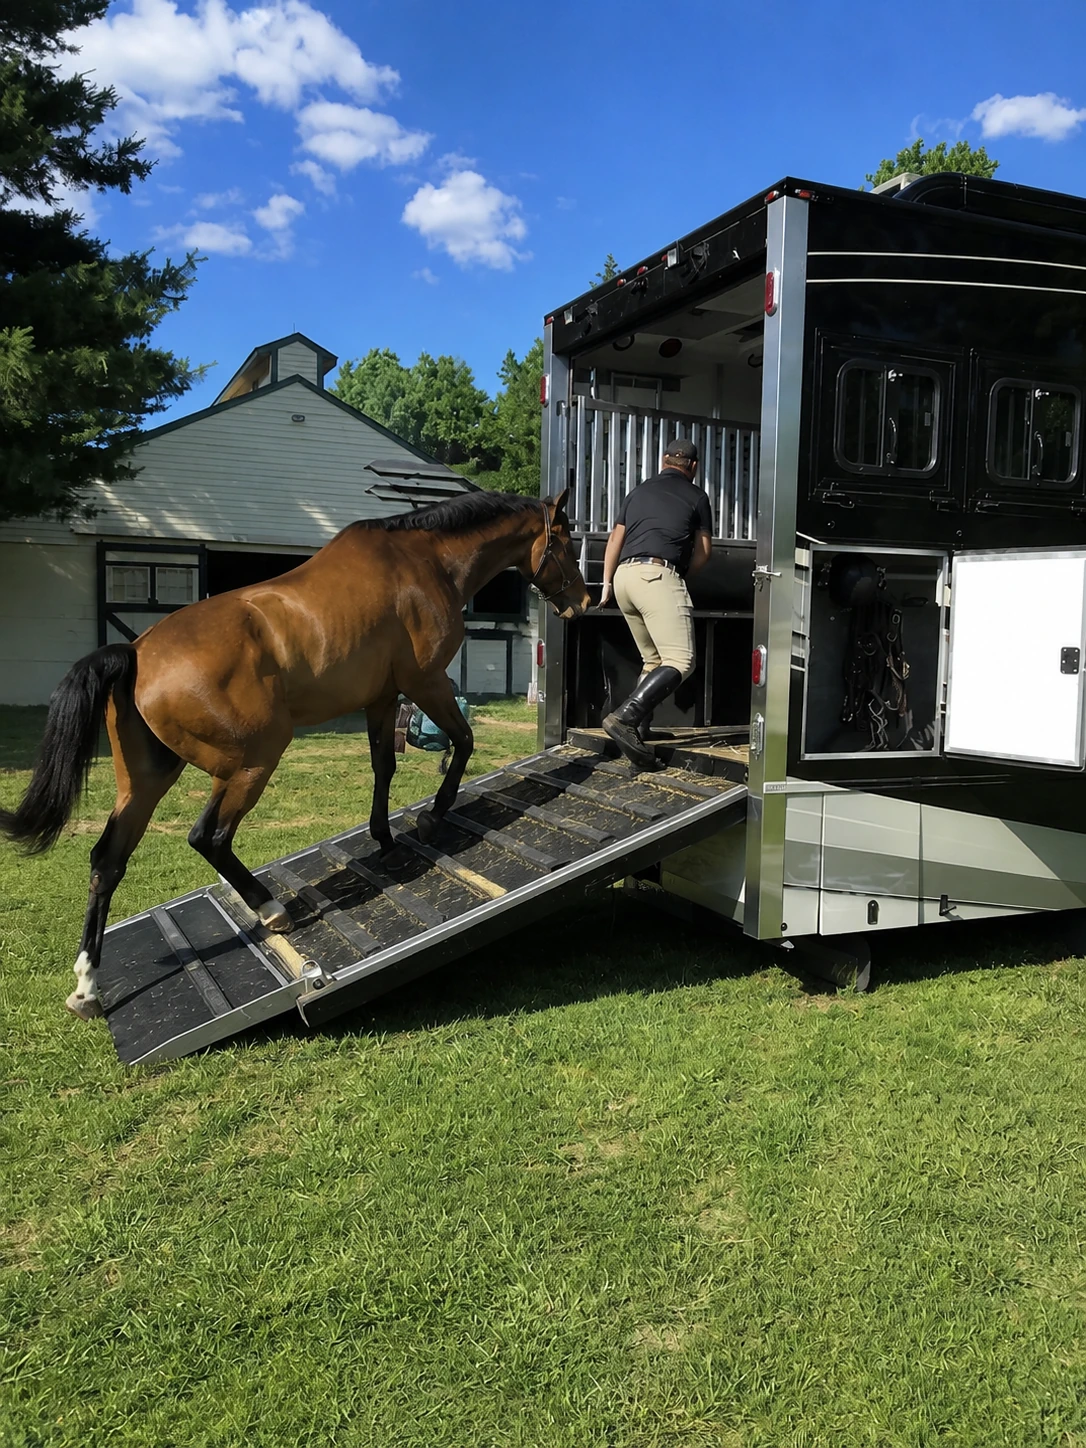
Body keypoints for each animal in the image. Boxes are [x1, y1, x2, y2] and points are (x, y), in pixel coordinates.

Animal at [0, 488, 590, 1022]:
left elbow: (384, 766)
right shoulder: (425, 683)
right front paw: (429, 819)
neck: (423, 560)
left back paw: (87, 987)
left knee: (108, 861)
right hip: (251, 762)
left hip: (145, 781)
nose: (584, 602)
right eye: (564, 540)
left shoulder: (382, 698)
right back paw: (272, 908)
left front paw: (386, 840)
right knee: (208, 837)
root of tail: (135, 651)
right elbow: (464, 744)